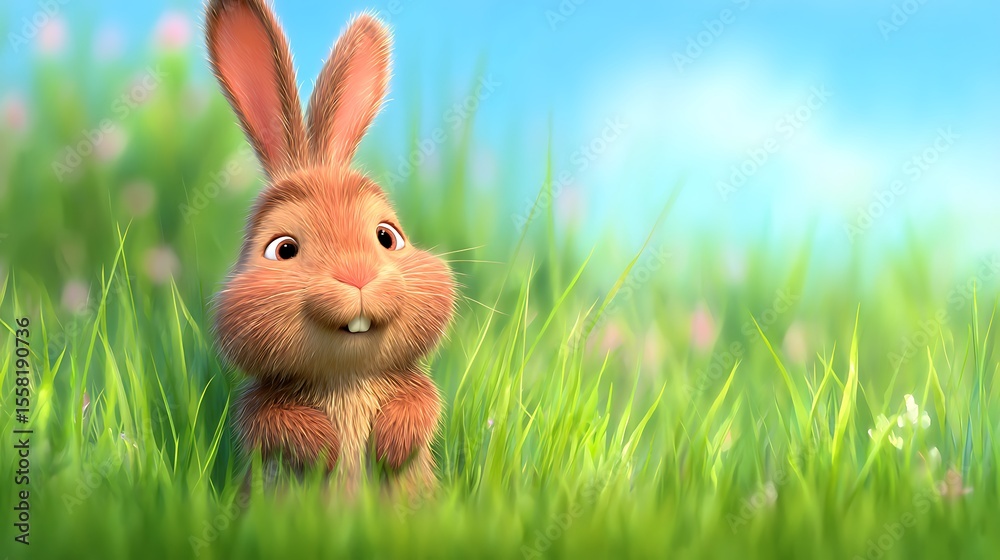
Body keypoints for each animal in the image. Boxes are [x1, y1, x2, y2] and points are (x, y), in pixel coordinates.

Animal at [205, 0, 455, 493]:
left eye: (387, 237)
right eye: (282, 249)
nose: (357, 276)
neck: (347, 377)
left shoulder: (415, 388)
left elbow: (423, 402)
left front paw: (390, 445)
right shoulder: (260, 406)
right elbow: (271, 421)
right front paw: (325, 450)